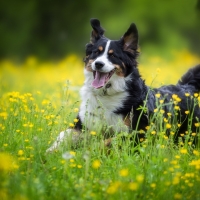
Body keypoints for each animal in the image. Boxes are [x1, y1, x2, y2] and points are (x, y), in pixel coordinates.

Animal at [45, 18, 200, 152]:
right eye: (96, 52)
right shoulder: (83, 124)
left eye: (113, 55)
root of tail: (190, 86)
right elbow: (64, 135)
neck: (107, 95)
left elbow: (106, 142)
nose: (98, 64)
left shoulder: (136, 134)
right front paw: (50, 153)